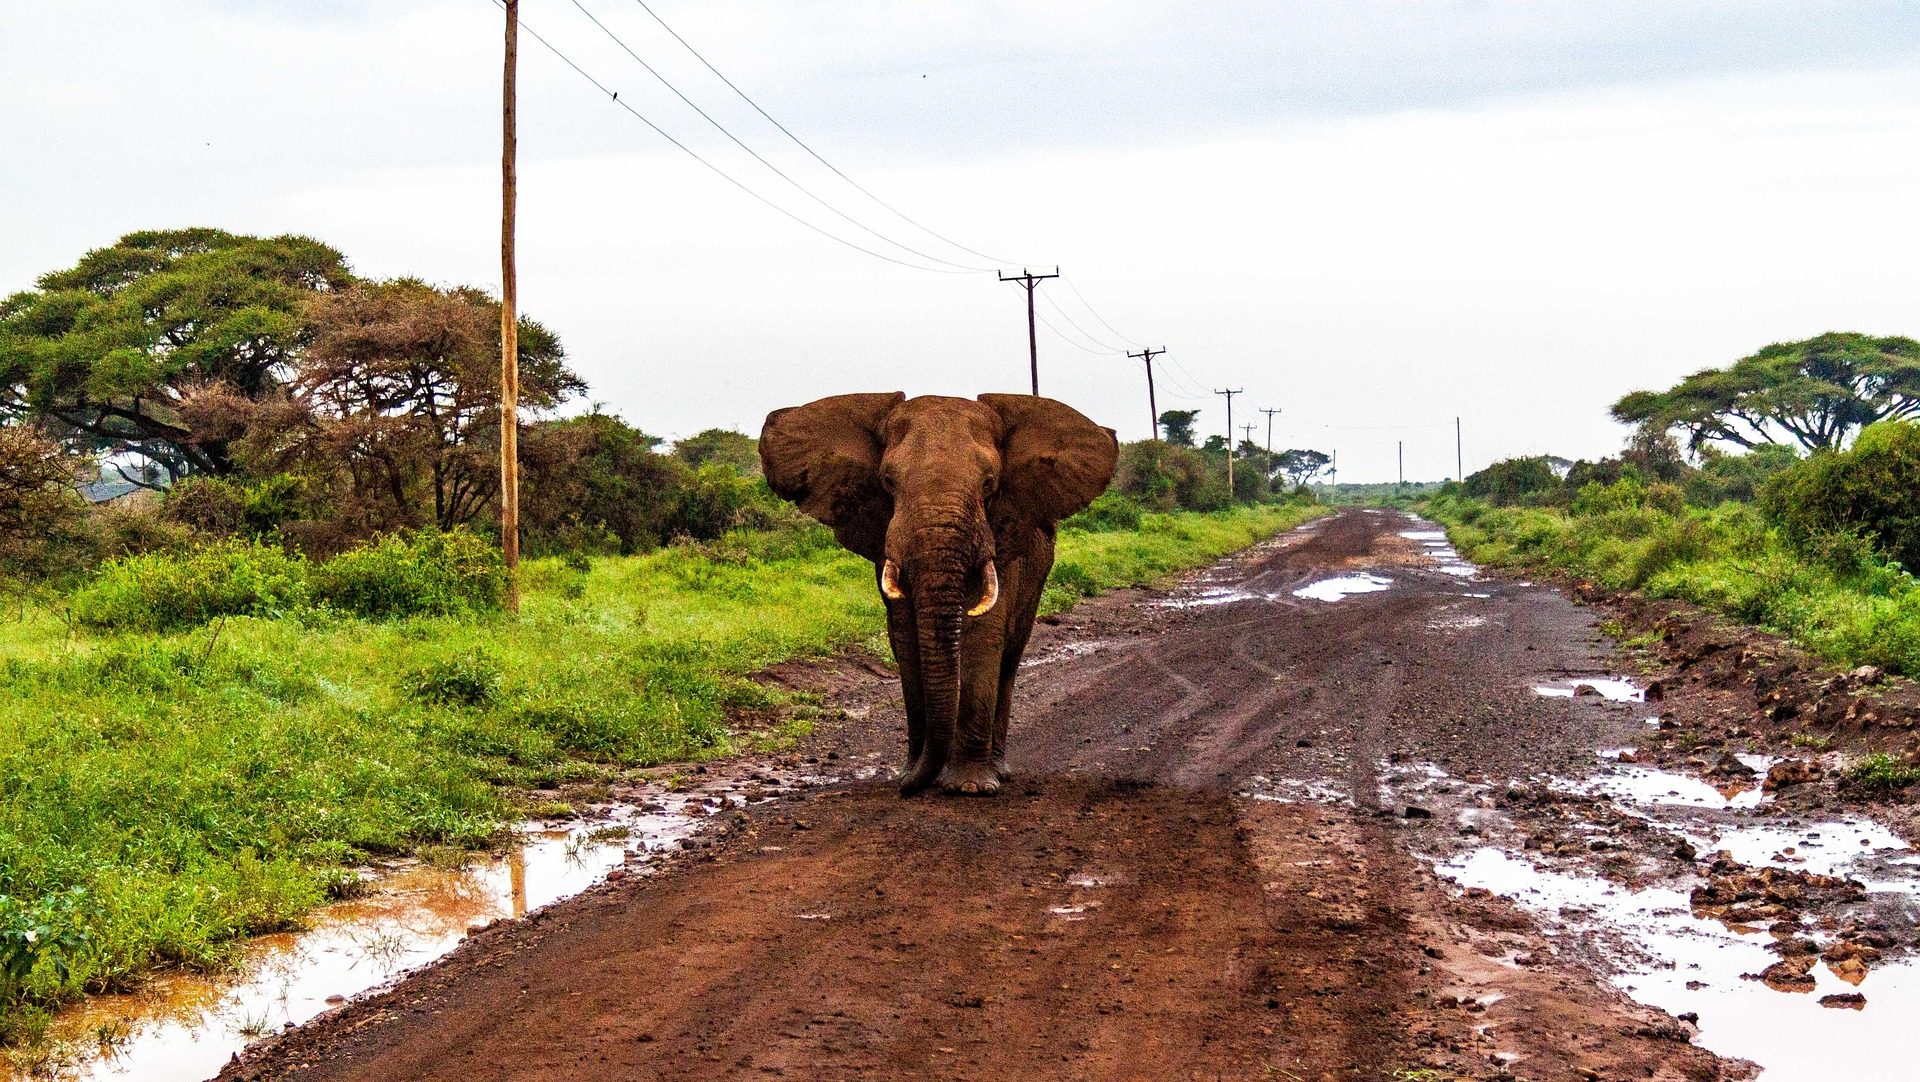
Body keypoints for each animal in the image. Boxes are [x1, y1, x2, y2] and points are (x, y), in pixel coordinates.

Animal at [760, 393, 1118, 796]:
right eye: (888, 482)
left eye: (989, 484)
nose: (905, 787)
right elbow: (906, 637)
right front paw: (911, 774)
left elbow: (984, 635)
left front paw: (969, 787)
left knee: (1010, 656)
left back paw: (998, 769)